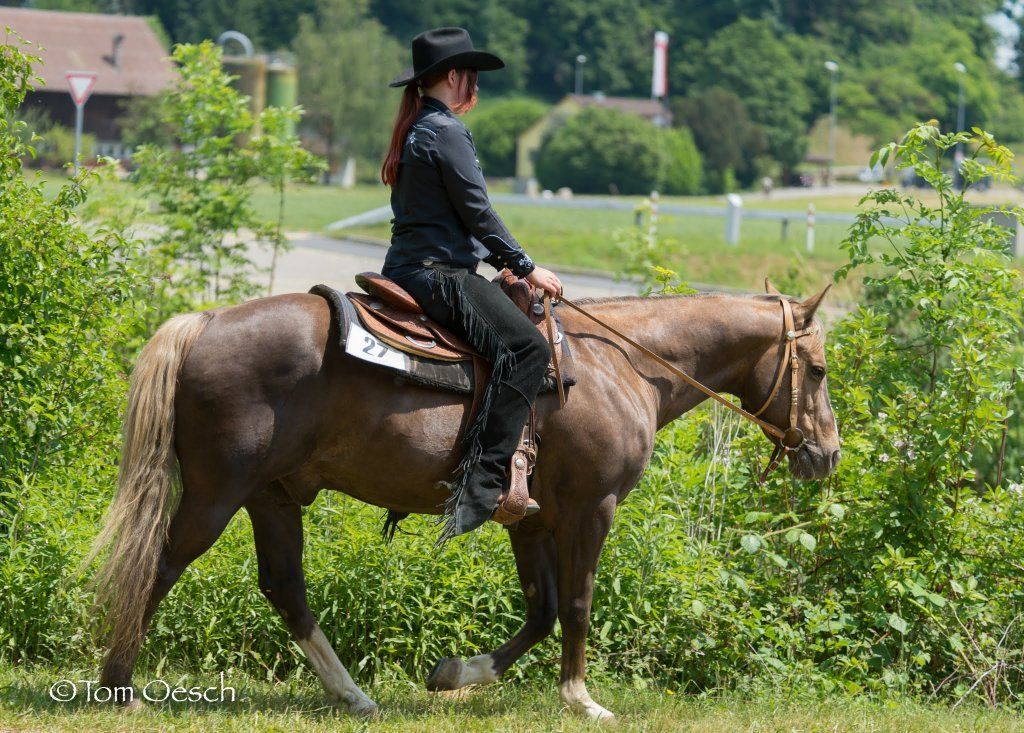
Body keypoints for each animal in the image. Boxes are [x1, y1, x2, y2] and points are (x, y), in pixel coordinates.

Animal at [88, 280, 840, 721]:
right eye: (819, 369)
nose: (827, 454)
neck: (621, 365)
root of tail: (205, 322)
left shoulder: (529, 520)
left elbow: (539, 611)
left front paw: (455, 674)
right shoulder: (591, 508)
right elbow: (576, 603)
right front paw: (581, 699)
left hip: (273, 498)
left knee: (285, 588)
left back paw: (353, 695)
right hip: (217, 494)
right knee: (159, 564)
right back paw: (120, 686)